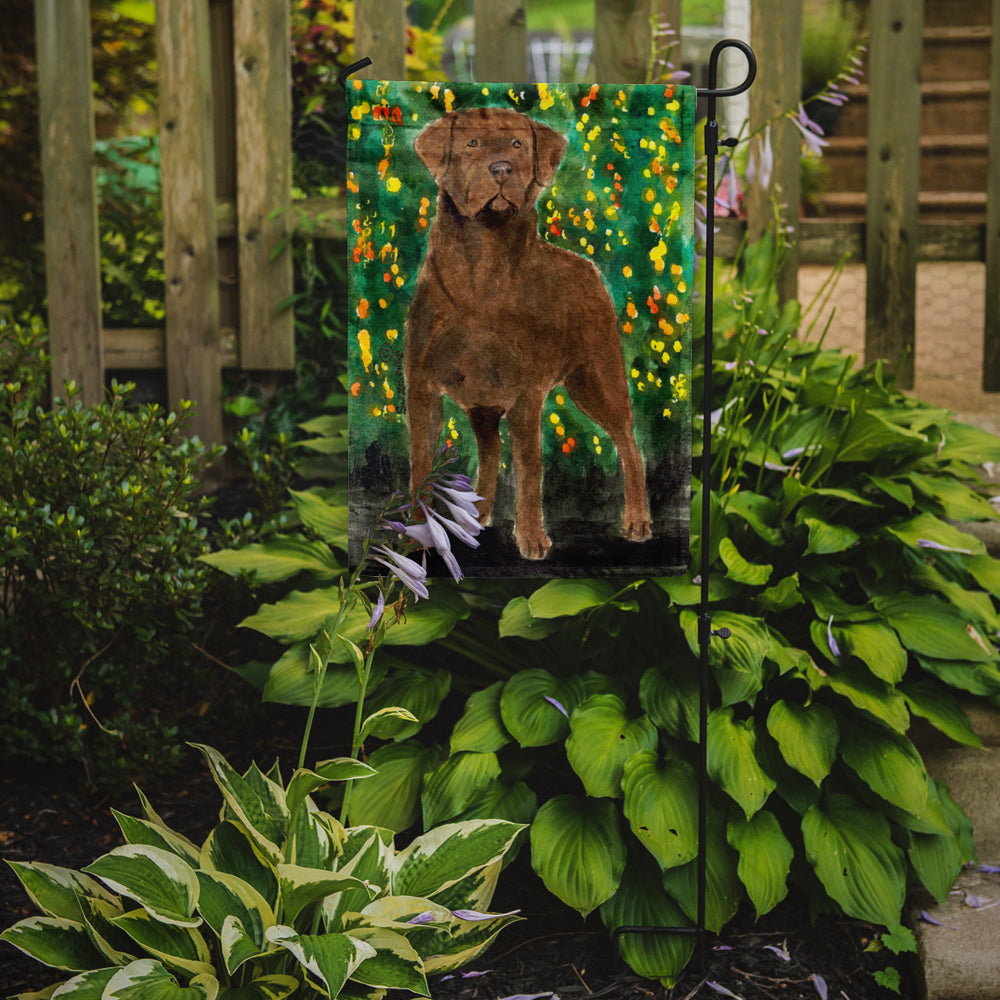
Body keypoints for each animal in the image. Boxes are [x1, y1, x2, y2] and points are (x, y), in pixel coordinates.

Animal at [406, 109, 656, 564]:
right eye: (471, 144)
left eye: (518, 144)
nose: (502, 169)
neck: (481, 268)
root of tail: (589, 267)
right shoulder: (422, 387)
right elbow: (420, 463)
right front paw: (415, 531)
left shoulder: (526, 393)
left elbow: (529, 467)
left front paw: (532, 538)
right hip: (484, 401)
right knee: (489, 451)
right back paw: (477, 516)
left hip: (597, 377)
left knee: (629, 443)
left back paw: (636, 520)